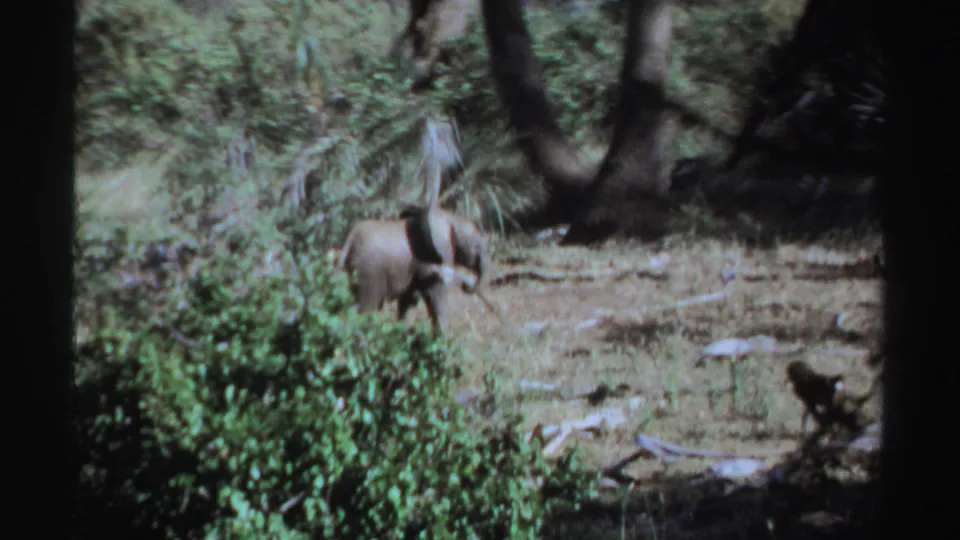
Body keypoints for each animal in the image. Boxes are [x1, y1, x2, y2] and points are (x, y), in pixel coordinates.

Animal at [339, 207, 490, 333]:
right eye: (477, 247)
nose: (466, 286)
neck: (449, 217)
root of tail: (350, 240)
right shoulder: (431, 257)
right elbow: (435, 294)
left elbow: (408, 301)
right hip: (369, 273)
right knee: (367, 308)